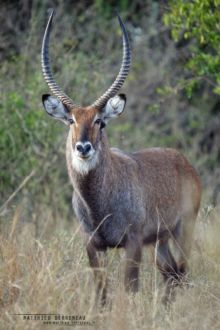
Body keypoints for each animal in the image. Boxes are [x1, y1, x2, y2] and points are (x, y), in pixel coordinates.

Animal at [40, 10, 201, 304]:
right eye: (71, 120)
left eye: (100, 121)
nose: (83, 148)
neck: (98, 203)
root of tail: (183, 161)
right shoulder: (92, 245)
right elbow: (102, 292)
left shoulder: (133, 241)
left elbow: (130, 289)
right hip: (160, 240)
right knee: (170, 272)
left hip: (185, 228)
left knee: (182, 271)